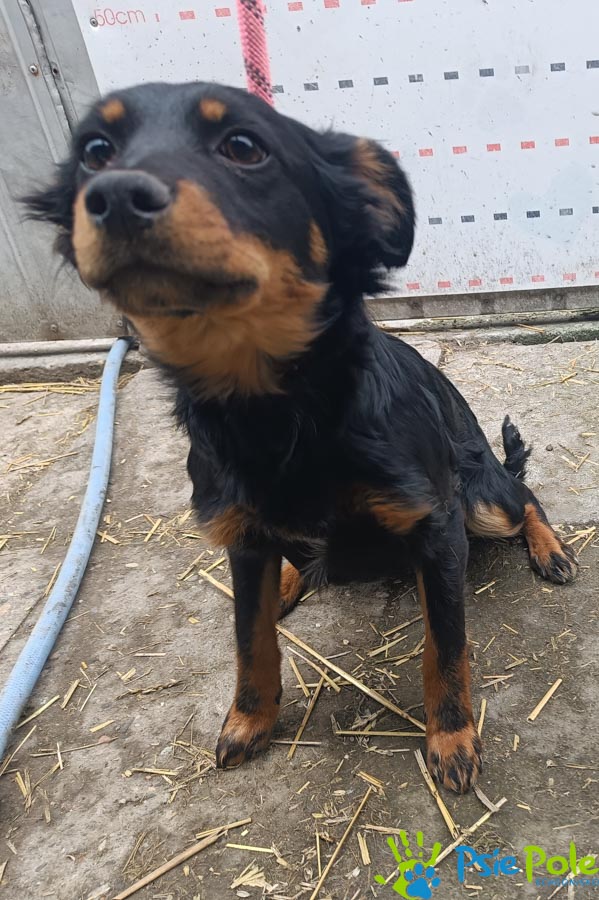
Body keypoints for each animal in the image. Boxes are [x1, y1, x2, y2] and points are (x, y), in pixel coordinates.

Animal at [26, 81, 579, 793]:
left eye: (244, 146)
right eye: (96, 151)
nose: (115, 196)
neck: (277, 410)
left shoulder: (437, 526)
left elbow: (447, 648)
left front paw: (453, 738)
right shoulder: (241, 538)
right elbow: (250, 641)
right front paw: (249, 721)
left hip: (479, 497)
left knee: (523, 495)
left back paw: (551, 550)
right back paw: (292, 582)